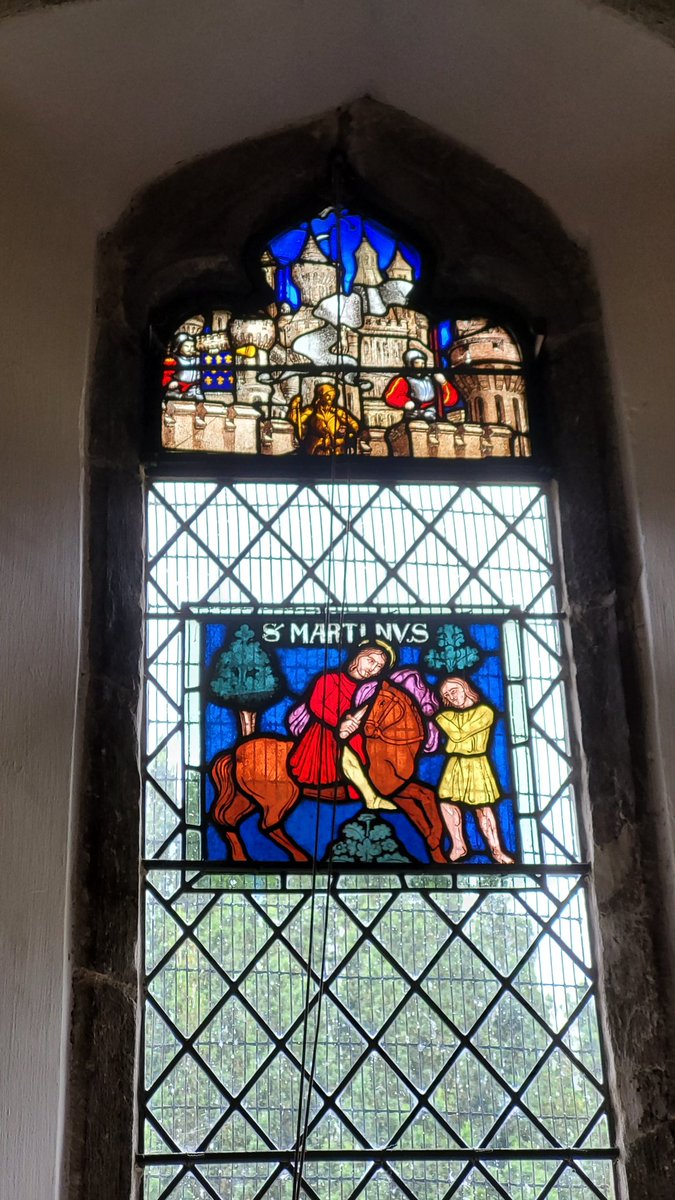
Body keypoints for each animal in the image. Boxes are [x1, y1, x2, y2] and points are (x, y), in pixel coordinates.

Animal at [207, 681, 444, 859]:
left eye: (383, 701)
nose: (367, 728)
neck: (391, 748)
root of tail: (237, 752)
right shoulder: (388, 788)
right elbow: (424, 796)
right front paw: (435, 837)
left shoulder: (400, 788)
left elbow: (425, 799)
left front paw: (434, 843)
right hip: (280, 797)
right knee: (268, 824)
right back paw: (301, 856)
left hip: (247, 797)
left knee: (228, 819)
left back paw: (240, 856)